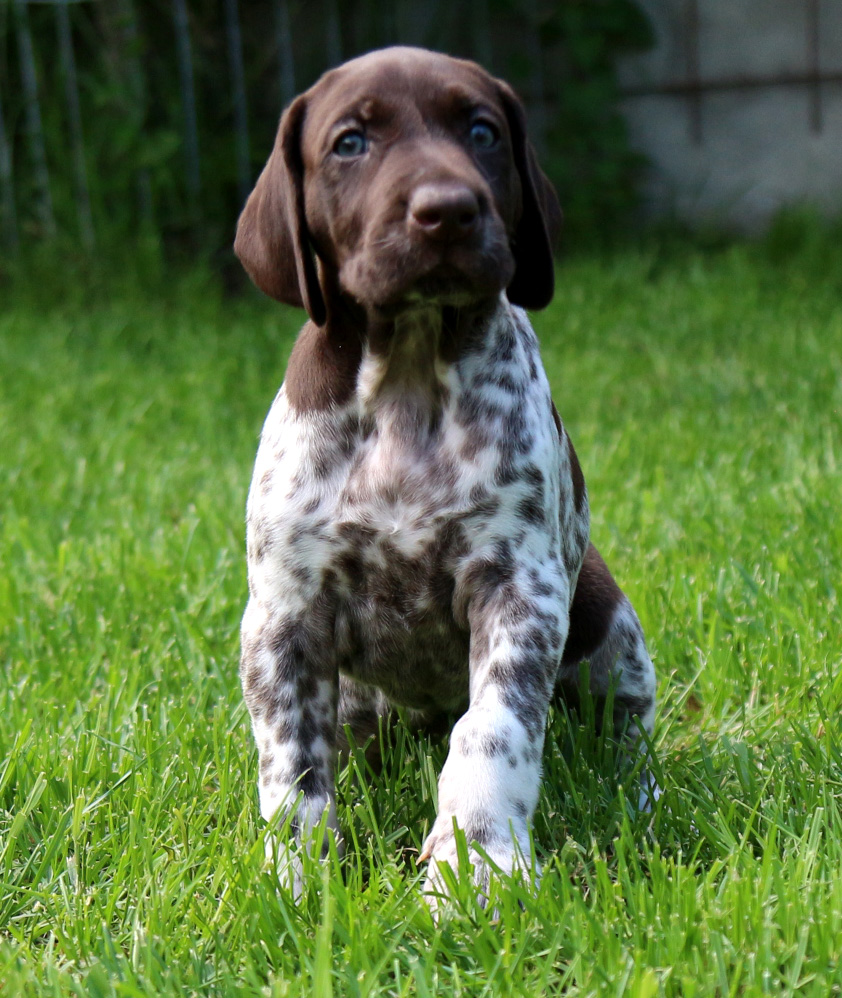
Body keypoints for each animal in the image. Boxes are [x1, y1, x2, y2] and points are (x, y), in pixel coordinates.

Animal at [235, 45, 656, 908]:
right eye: (350, 143)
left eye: (482, 131)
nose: (448, 210)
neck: (408, 378)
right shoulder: (283, 616)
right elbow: (293, 764)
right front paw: (296, 878)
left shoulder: (519, 588)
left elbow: (492, 730)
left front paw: (478, 866)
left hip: (603, 616)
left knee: (628, 723)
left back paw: (634, 792)